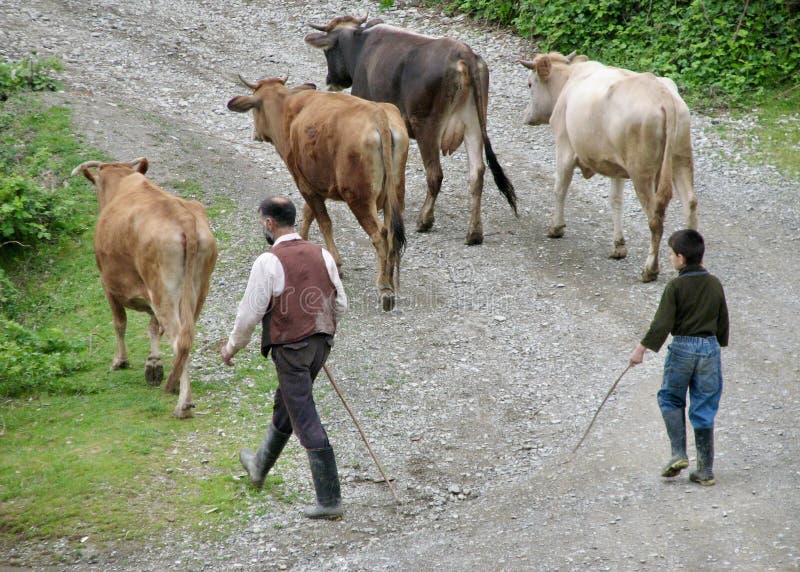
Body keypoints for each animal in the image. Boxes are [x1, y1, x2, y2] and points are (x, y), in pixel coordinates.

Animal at [70, 159, 216, 418]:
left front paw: (120, 361)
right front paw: (154, 364)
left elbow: (120, 323)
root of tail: (184, 217)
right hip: (197, 289)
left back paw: (183, 403)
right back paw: (174, 383)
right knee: (186, 336)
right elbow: (153, 328)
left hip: (163, 291)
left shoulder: (108, 285)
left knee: (179, 339)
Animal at [228, 76, 410, 312]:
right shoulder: (315, 185)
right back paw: (390, 281)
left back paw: (383, 287)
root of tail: (377, 113)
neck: (289, 109)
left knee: (380, 235)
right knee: (392, 233)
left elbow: (323, 221)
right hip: (395, 194)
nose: (255, 134)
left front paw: (336, 263)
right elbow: (308, 214)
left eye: (255, 108)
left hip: (358, 198)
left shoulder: (304, 182)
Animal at [304, 16, 516, 245]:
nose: (330, 80)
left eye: (328, 51)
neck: (360, 45)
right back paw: (474, 233)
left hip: (427, 126)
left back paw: (425, 220)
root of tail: (463, 53)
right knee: (477, 173)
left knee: (435, 174)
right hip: (474, 124)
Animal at [520, 51, 696, 282]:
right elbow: (616, 201)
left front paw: (555, 227)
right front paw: (618, 246)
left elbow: (560, 187)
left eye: (530, 84)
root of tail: (662, 94)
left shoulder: (564, 145)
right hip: (680, 159)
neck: (569, 80)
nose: (525, 116)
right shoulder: (617, 167)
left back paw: (649, 269)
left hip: (642, 171)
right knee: (690, 204)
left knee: (655, 216)